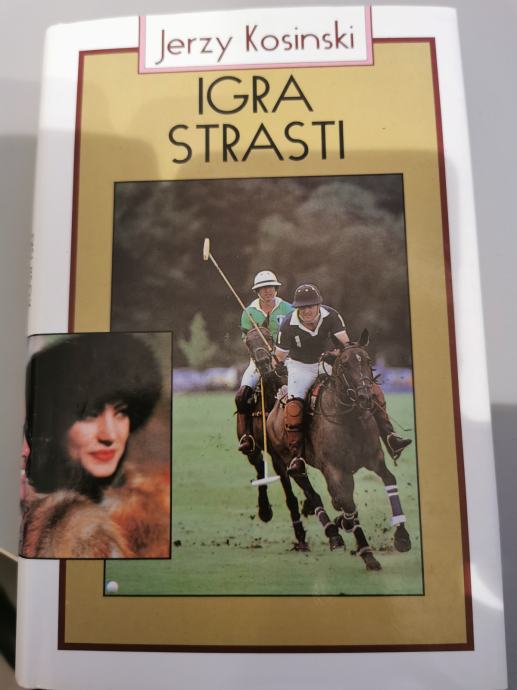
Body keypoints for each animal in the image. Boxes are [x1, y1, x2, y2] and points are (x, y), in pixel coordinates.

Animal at [241, 327, 344, 552]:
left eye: (268, 337)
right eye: (248, 343)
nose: (264, 363)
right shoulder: (277, 454)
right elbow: (290, 493)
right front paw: (301, 534)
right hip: (252, 448)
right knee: (258, 465)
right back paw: (265, 511)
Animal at [267, 331, 412, 570]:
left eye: (368, 361)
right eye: (344, 364)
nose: (365, 397)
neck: (350, 418)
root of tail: (275, 408)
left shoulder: (375, 459)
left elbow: (389, 480)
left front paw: (402, 537)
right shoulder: (334, 469)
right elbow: (347, 503)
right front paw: (368, 555)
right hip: (289, 459)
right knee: (310, 489)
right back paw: (333, 533)